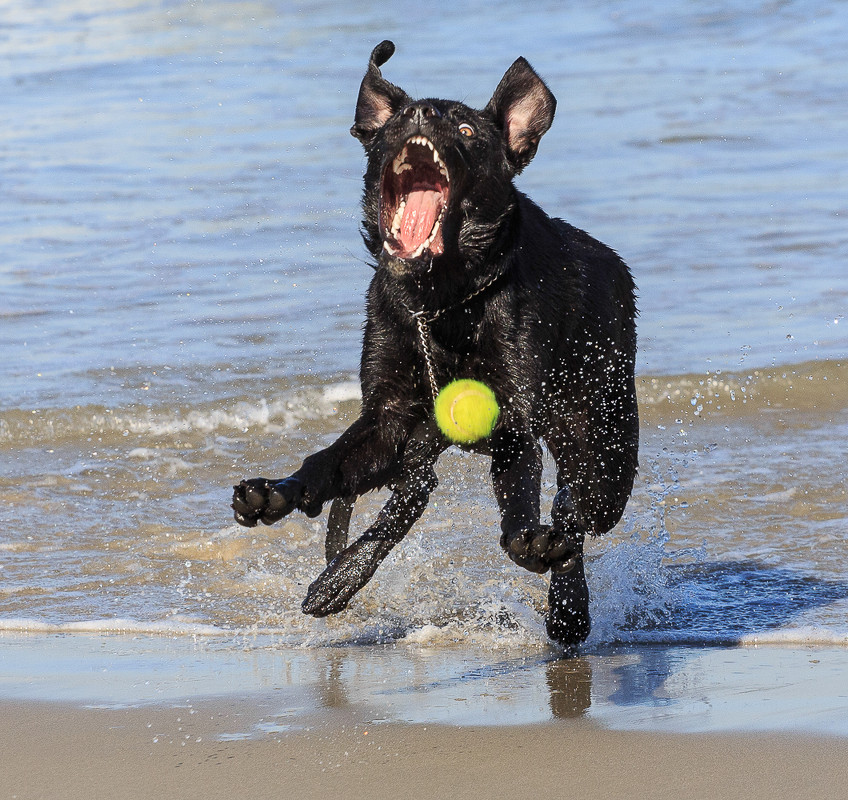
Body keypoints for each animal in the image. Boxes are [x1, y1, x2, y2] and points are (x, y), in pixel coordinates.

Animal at [232, 40, 636, 648]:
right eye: (396, 121)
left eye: (467, 129)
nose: (420, 115)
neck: (442, 300)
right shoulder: (389, 417)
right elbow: (327, 462)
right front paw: (275, 492)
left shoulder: (512, 419)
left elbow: (521, 507)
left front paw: (531, 545)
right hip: (426, 443)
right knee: (410, 497)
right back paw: (337, 580)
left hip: (603, 442)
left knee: (578, 511)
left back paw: (568, 606)